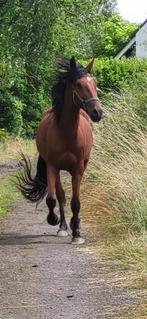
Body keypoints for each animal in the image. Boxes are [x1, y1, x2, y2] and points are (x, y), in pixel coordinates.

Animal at [17, 57, 103, 245]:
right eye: (78, 84)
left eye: (95, 82)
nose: (97, 112)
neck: (67, 133)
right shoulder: (52, 166)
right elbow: (52, 198)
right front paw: (55, 220)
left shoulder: (78, 169)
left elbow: (76, 202)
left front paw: (77, 233)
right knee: (60, 195)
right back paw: (63, 226)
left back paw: (73, 224)